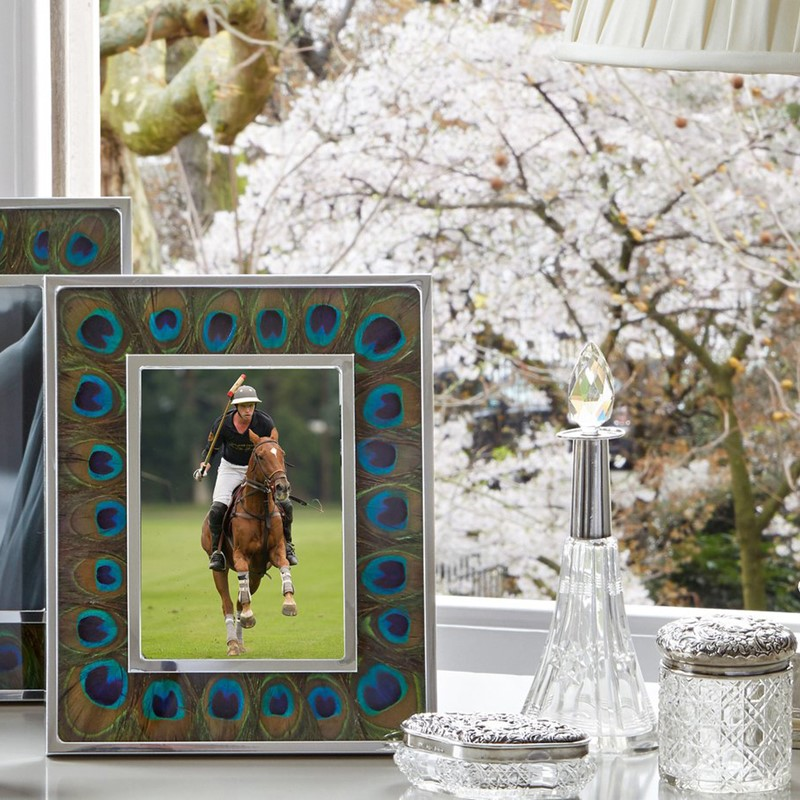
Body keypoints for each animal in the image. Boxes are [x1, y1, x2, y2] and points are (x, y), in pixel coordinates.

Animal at [202, 432, 298, 656]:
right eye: (261, 456)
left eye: (282, 454)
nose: (282, 487)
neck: (259, 511)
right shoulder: (241, 556)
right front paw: (248, 617)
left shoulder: (276, 551)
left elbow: (285, 566)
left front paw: (289, 604)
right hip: (219, 570)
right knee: (228, 604)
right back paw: (232, 644)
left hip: (257, 576)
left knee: (239, 600)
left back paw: (239, 641)